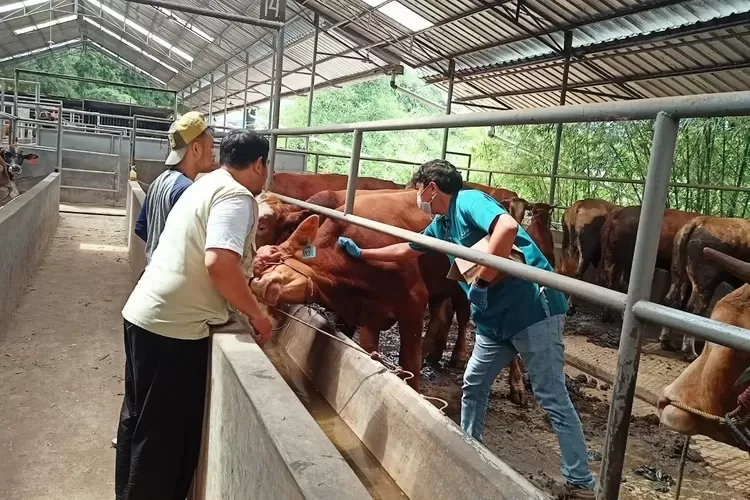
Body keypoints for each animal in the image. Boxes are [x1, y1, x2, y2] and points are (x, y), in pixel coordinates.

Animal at [660, 217, 748, 362]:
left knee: (672, 301)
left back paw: (666, 342)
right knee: (694, 309)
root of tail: (700, 220)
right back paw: (690, 352)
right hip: (705, 283)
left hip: (679, 275)